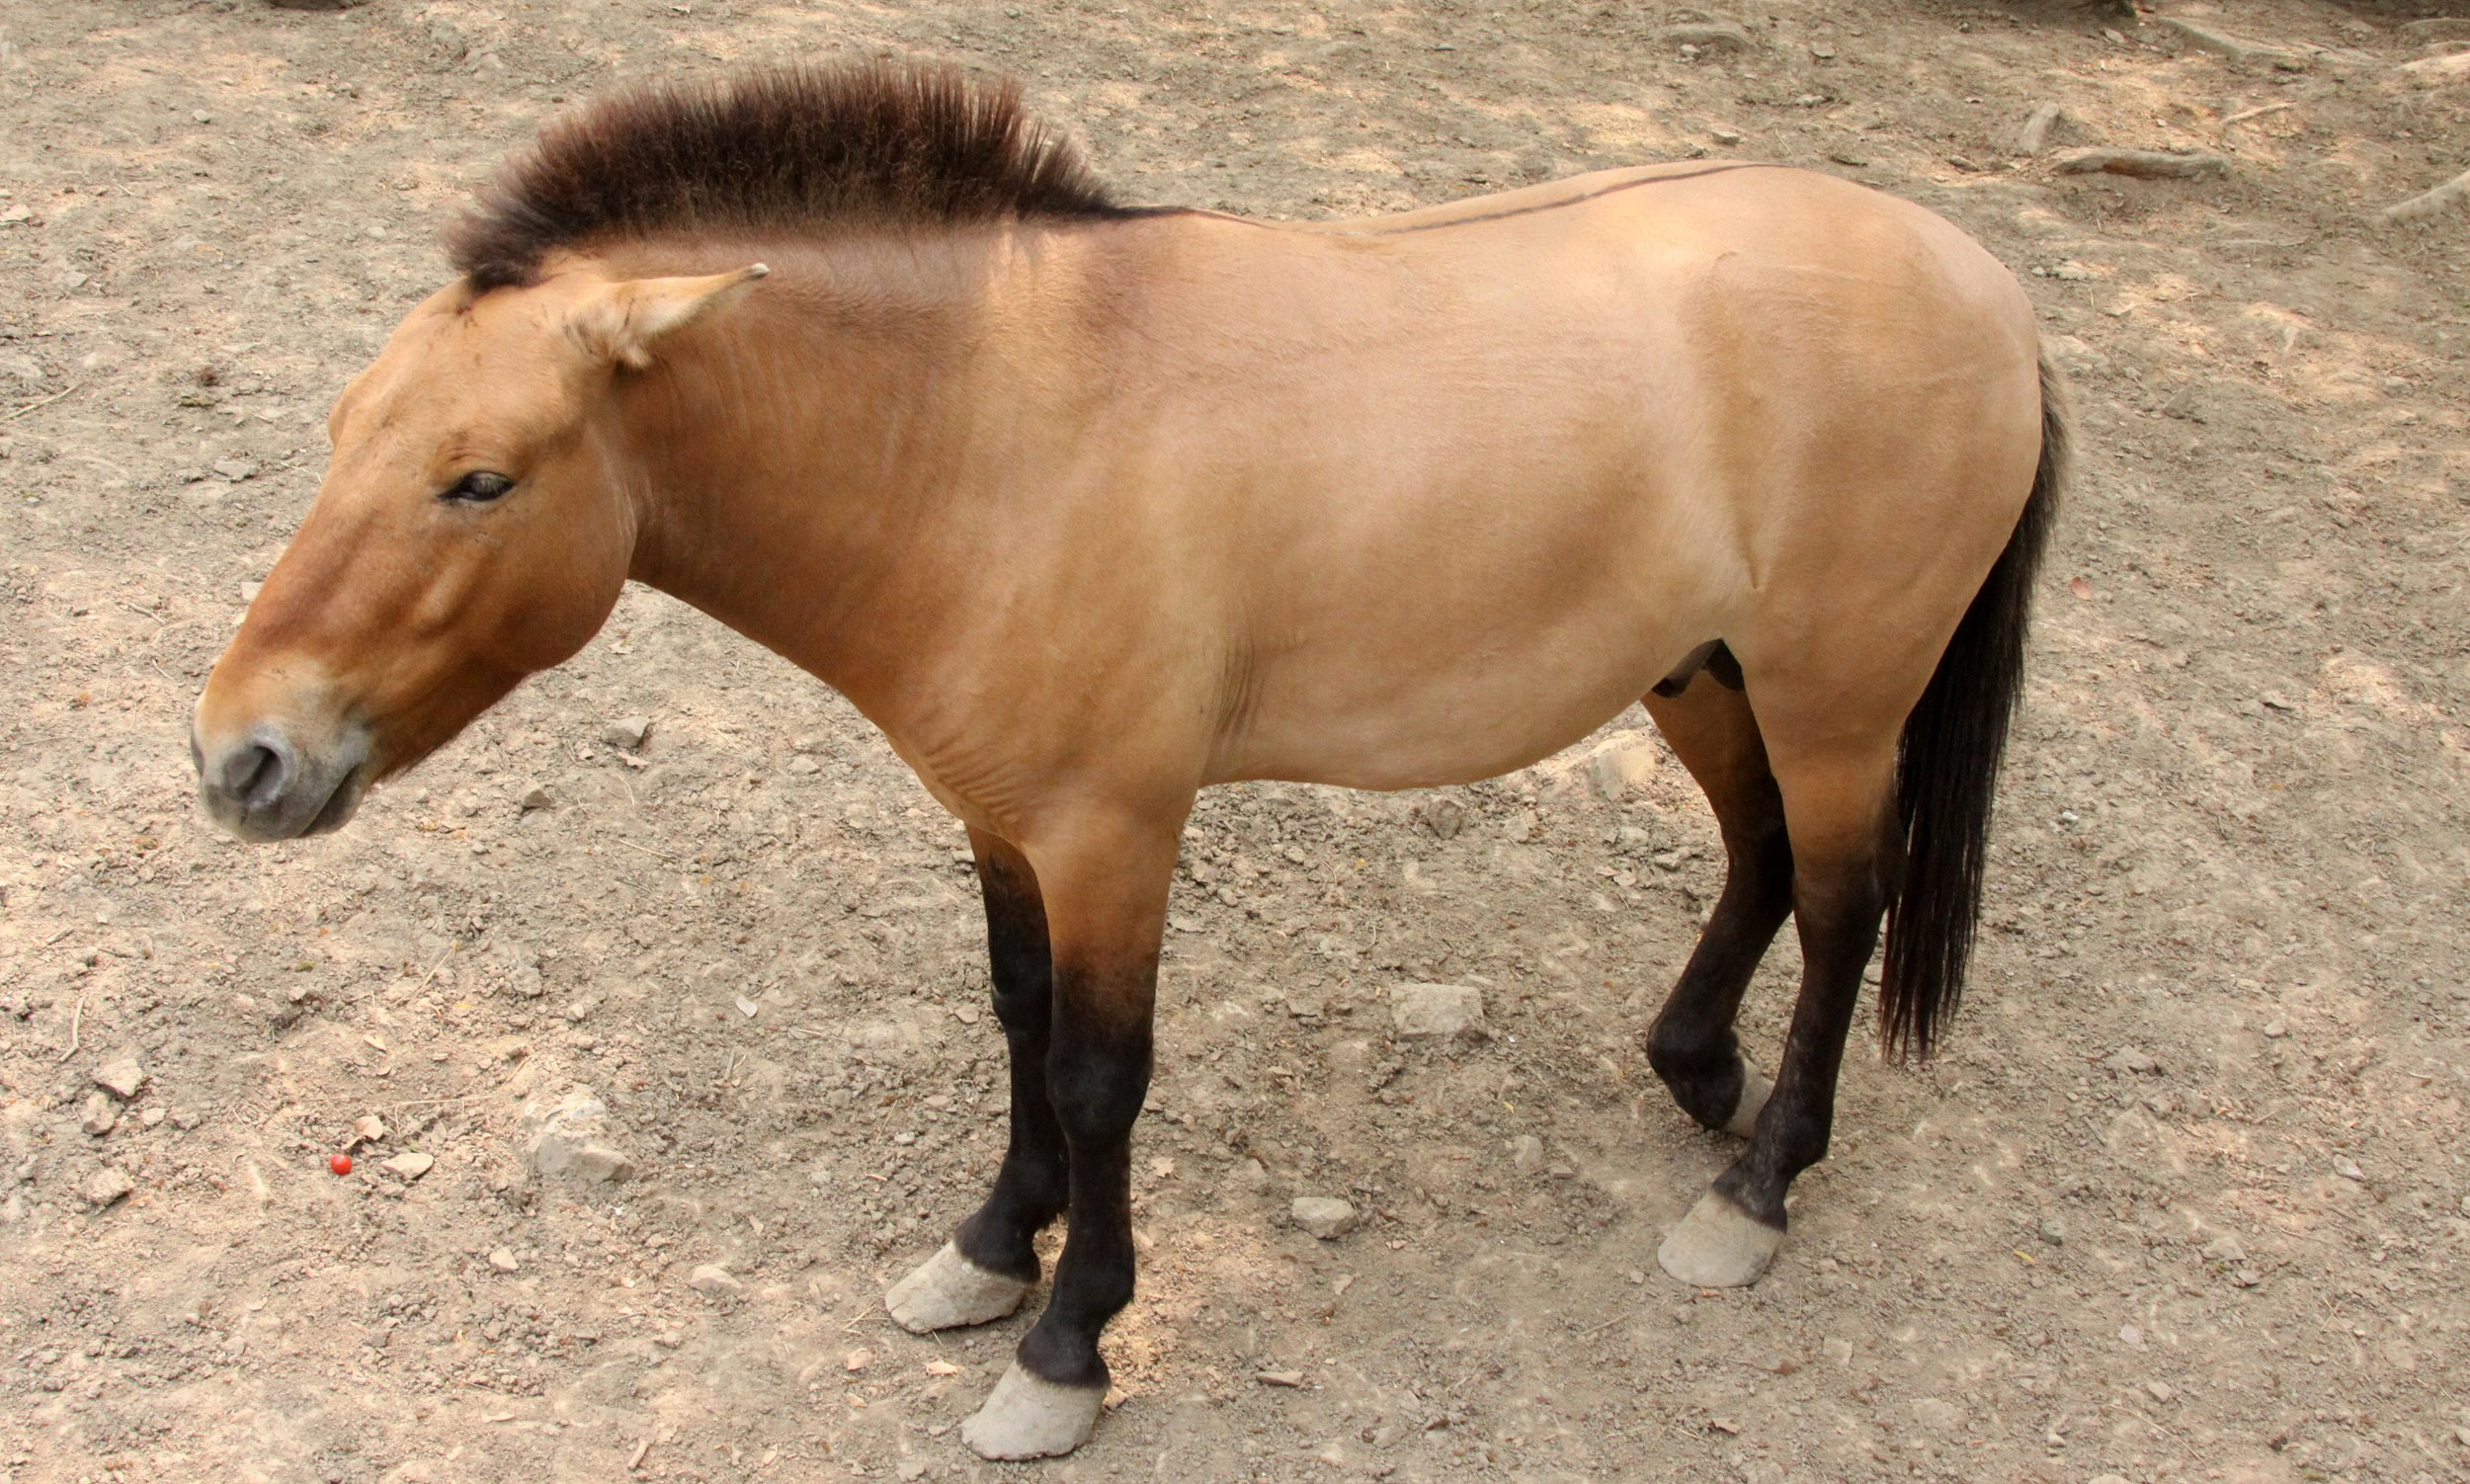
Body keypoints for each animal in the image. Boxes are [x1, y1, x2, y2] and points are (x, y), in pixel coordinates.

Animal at [188, 63, 2065, 1460]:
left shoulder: (1114, 834)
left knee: (1843, 904)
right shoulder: (1005, 822)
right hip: (1704, 675)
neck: (990, 428)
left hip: (1836, 698)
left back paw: (1756, 1189)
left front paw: (1069, 1345)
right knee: (1762, 862)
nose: (240, 756)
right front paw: (983, 1255)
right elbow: (1020, 1026)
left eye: (480, 478)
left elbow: (1099, 1074)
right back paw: (1697, 1073)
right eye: (346, 429)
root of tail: (1986, 287)